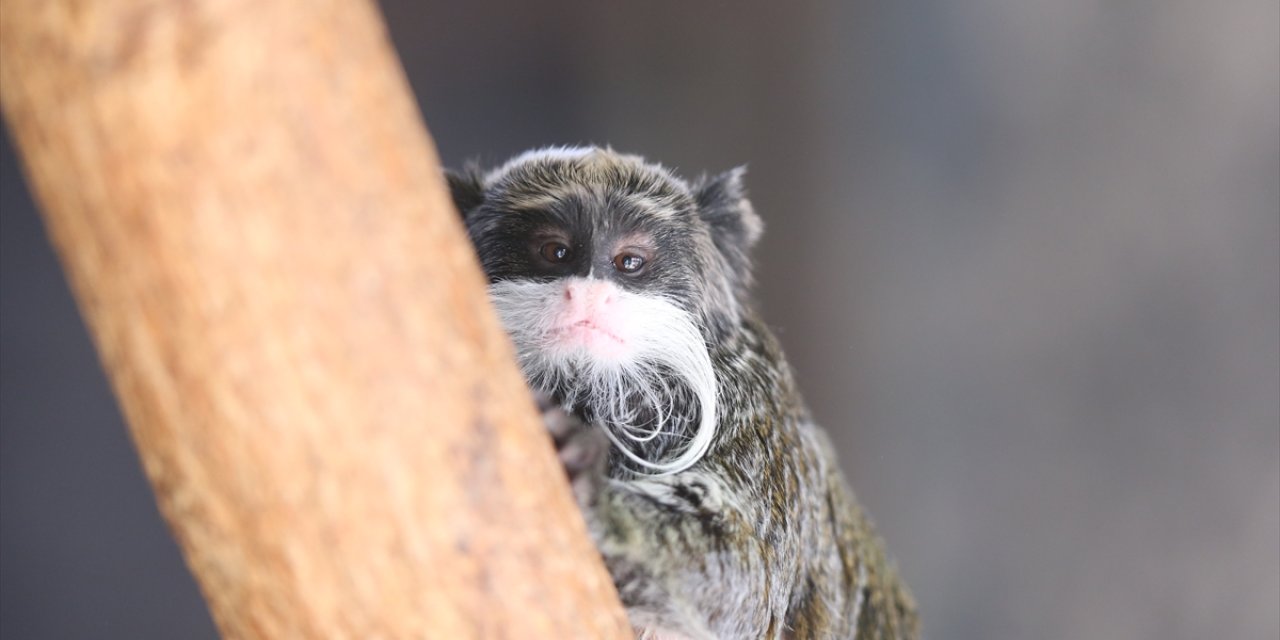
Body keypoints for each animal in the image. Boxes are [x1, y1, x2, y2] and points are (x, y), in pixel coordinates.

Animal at [450, 146, 921, 640]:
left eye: (629, 262)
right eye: (555, 251)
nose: (588, 296)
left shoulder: (755, 407)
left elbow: (744, 575)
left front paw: (593, 492)